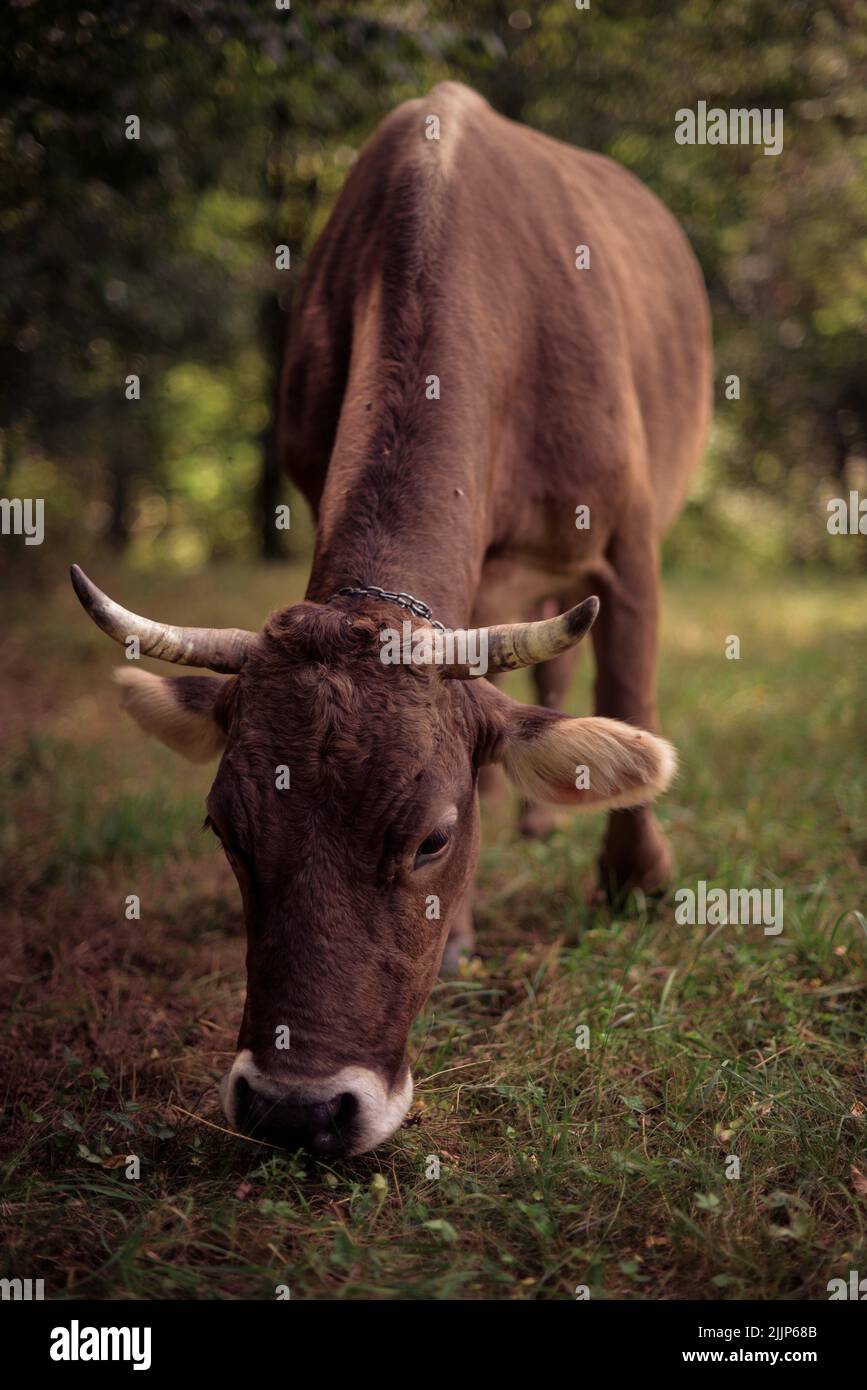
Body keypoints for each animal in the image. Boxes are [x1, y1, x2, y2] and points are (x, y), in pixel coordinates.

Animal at [72, 82, 711, 1158]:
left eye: (429, 841)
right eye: (225, 828)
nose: (296, 1108)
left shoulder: (626, 543)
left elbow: (628, 692)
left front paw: (636, 881)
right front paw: (461, 932)